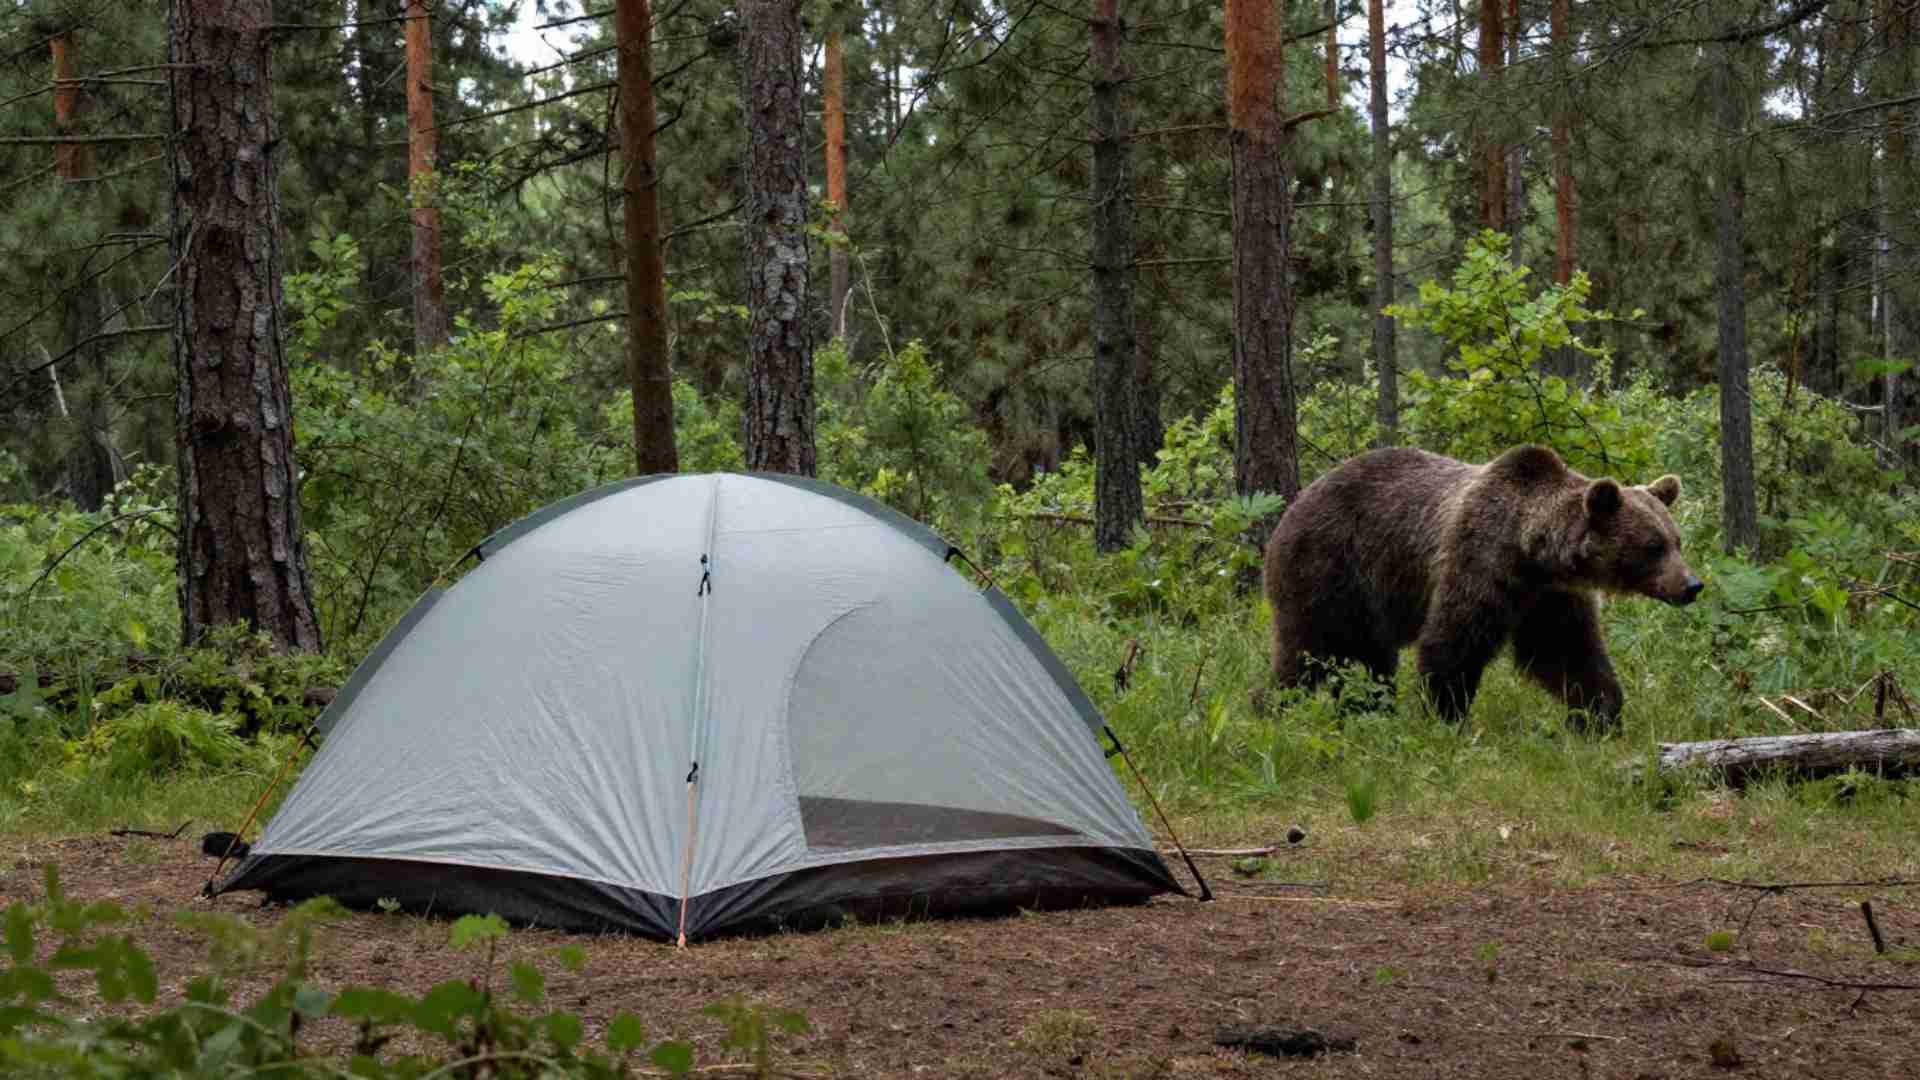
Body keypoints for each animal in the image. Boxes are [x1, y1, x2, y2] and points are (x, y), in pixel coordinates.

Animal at [1262, 444, 1703, 728]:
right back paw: (1273, 710)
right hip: (1328, 569)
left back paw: (1367, 714)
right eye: (1653, 546)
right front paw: (1446, 716)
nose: (1692, 585)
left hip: (1367, 603)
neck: (1531, 553)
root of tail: (1292, 506)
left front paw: (1600, 715)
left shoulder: (1548, 598)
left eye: (1677, 540)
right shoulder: (1478, 565)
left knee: (1369, 664)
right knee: (1306, 652)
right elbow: (1451, 646)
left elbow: (1566, 654)